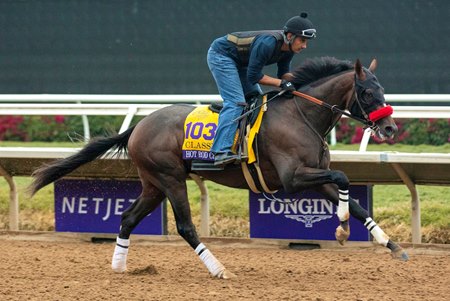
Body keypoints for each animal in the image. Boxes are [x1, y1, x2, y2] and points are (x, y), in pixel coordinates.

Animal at [27, 56, 408, 278]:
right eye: (367, 91)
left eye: (383, 89)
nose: (390, 129)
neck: (301, 116)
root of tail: (138, 126)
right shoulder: (293, 178)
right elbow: (343, 178)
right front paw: (341, 226)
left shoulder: (315, 176)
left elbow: (354, 200)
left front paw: (391, 245)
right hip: (170, 178)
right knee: (185, 226)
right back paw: (219, 269)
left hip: (153, 183)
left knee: (128, 218)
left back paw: (119, 267)